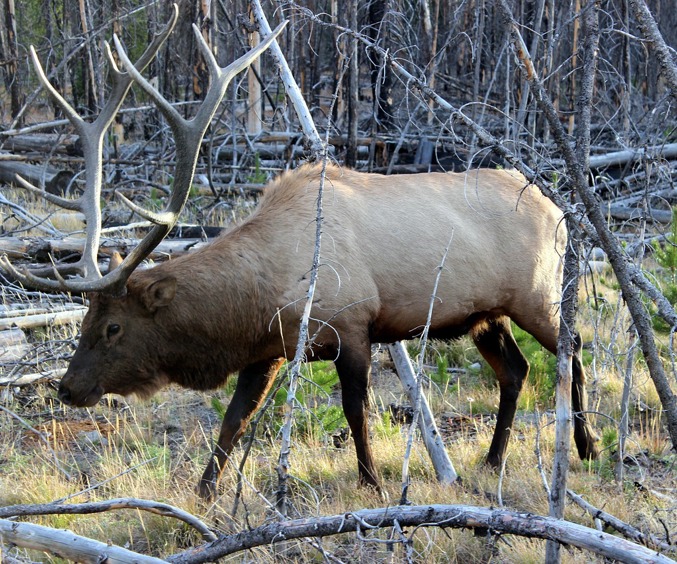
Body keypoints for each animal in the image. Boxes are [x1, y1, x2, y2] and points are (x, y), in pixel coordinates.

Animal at [0, 7, 598, 501]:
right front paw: (204, 492)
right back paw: (492, 460)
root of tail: (559, 210)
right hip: (485, 314)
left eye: (114, 328)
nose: (68, 387)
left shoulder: (352, 324)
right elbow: (234, 419)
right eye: (84, 322)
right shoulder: (267, 349)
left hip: (539, 293)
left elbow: (355, 411)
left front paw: (373, 482)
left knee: (573, 350)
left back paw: (586, 447)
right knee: (516, 370)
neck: (260, 296)